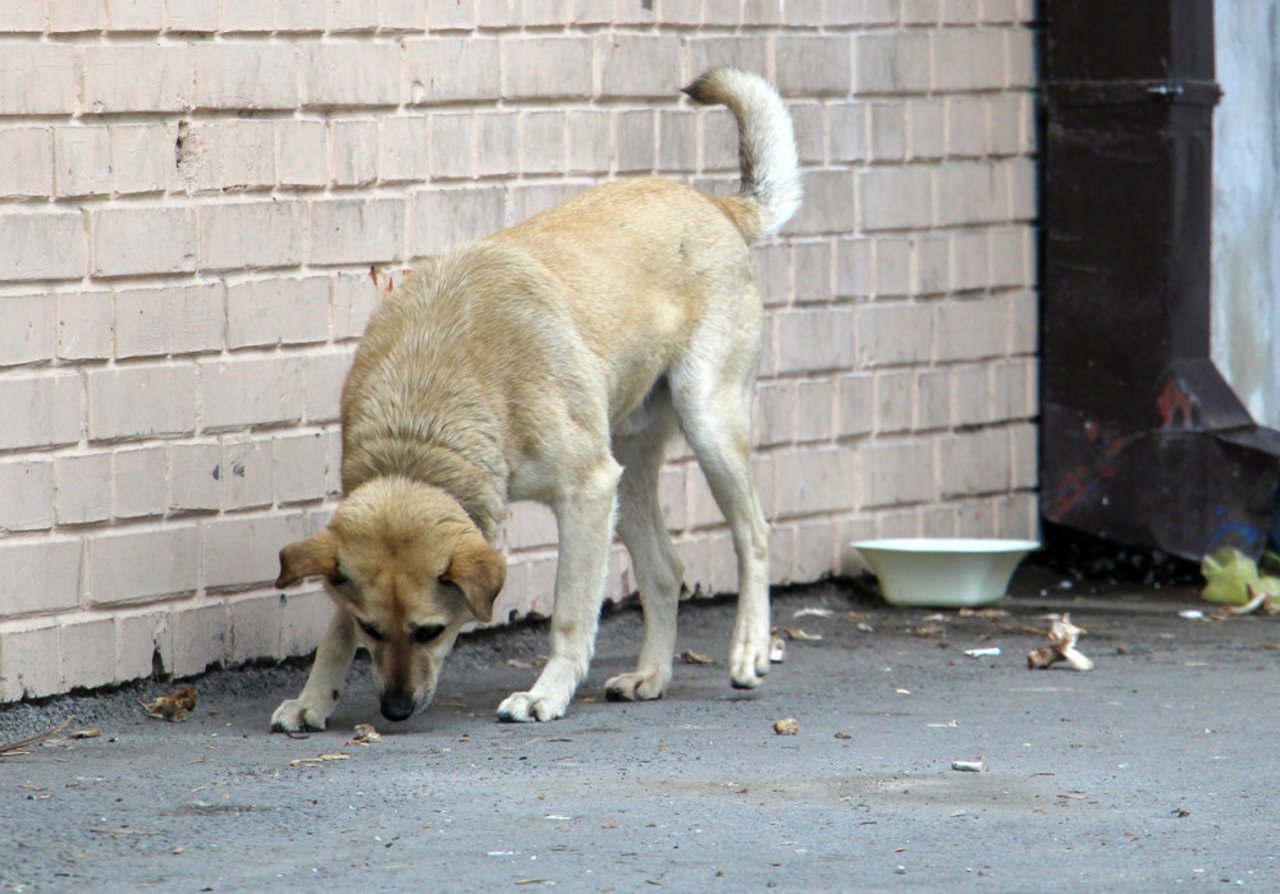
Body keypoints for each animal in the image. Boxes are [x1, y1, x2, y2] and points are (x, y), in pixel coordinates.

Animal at [272, 66, 798, 727]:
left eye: (430, 631)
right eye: (372, 627)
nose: (393, 710)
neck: (425, 424)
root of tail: (716, 206)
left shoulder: (588, 491)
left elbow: (570, 614)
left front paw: (547, 693)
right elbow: (331, 631)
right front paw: (314, 697)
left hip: (706, 425)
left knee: (755, 536)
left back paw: (750, 648)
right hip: (629, 464)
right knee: (666, 570)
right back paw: (650, 675)